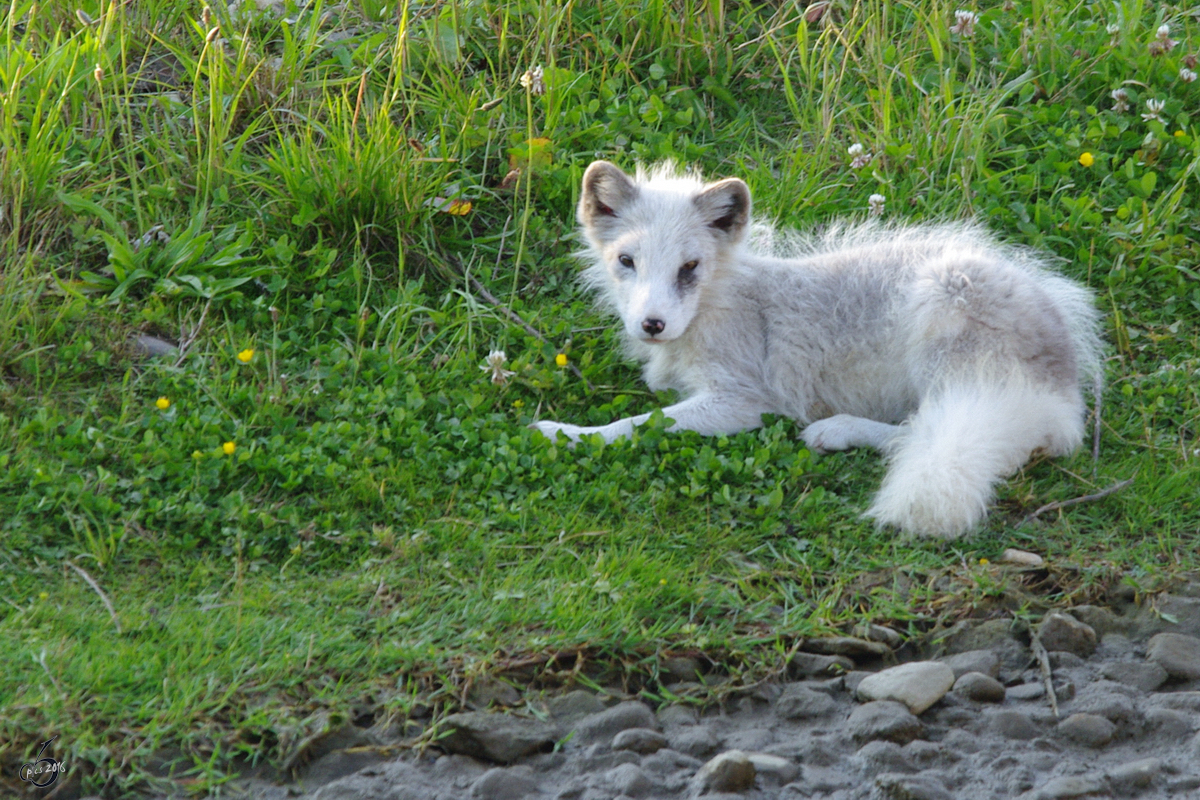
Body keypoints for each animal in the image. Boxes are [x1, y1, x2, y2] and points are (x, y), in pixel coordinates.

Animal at [535, 160, 1104, 537]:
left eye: (689, 267)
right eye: (626, 261)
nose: (652, 324)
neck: (720, 300)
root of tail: (1064, 395)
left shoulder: (744, 401)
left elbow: (636, 425)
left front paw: (567, 433)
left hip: (941, 305)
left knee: (920, 428)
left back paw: (835, 430)